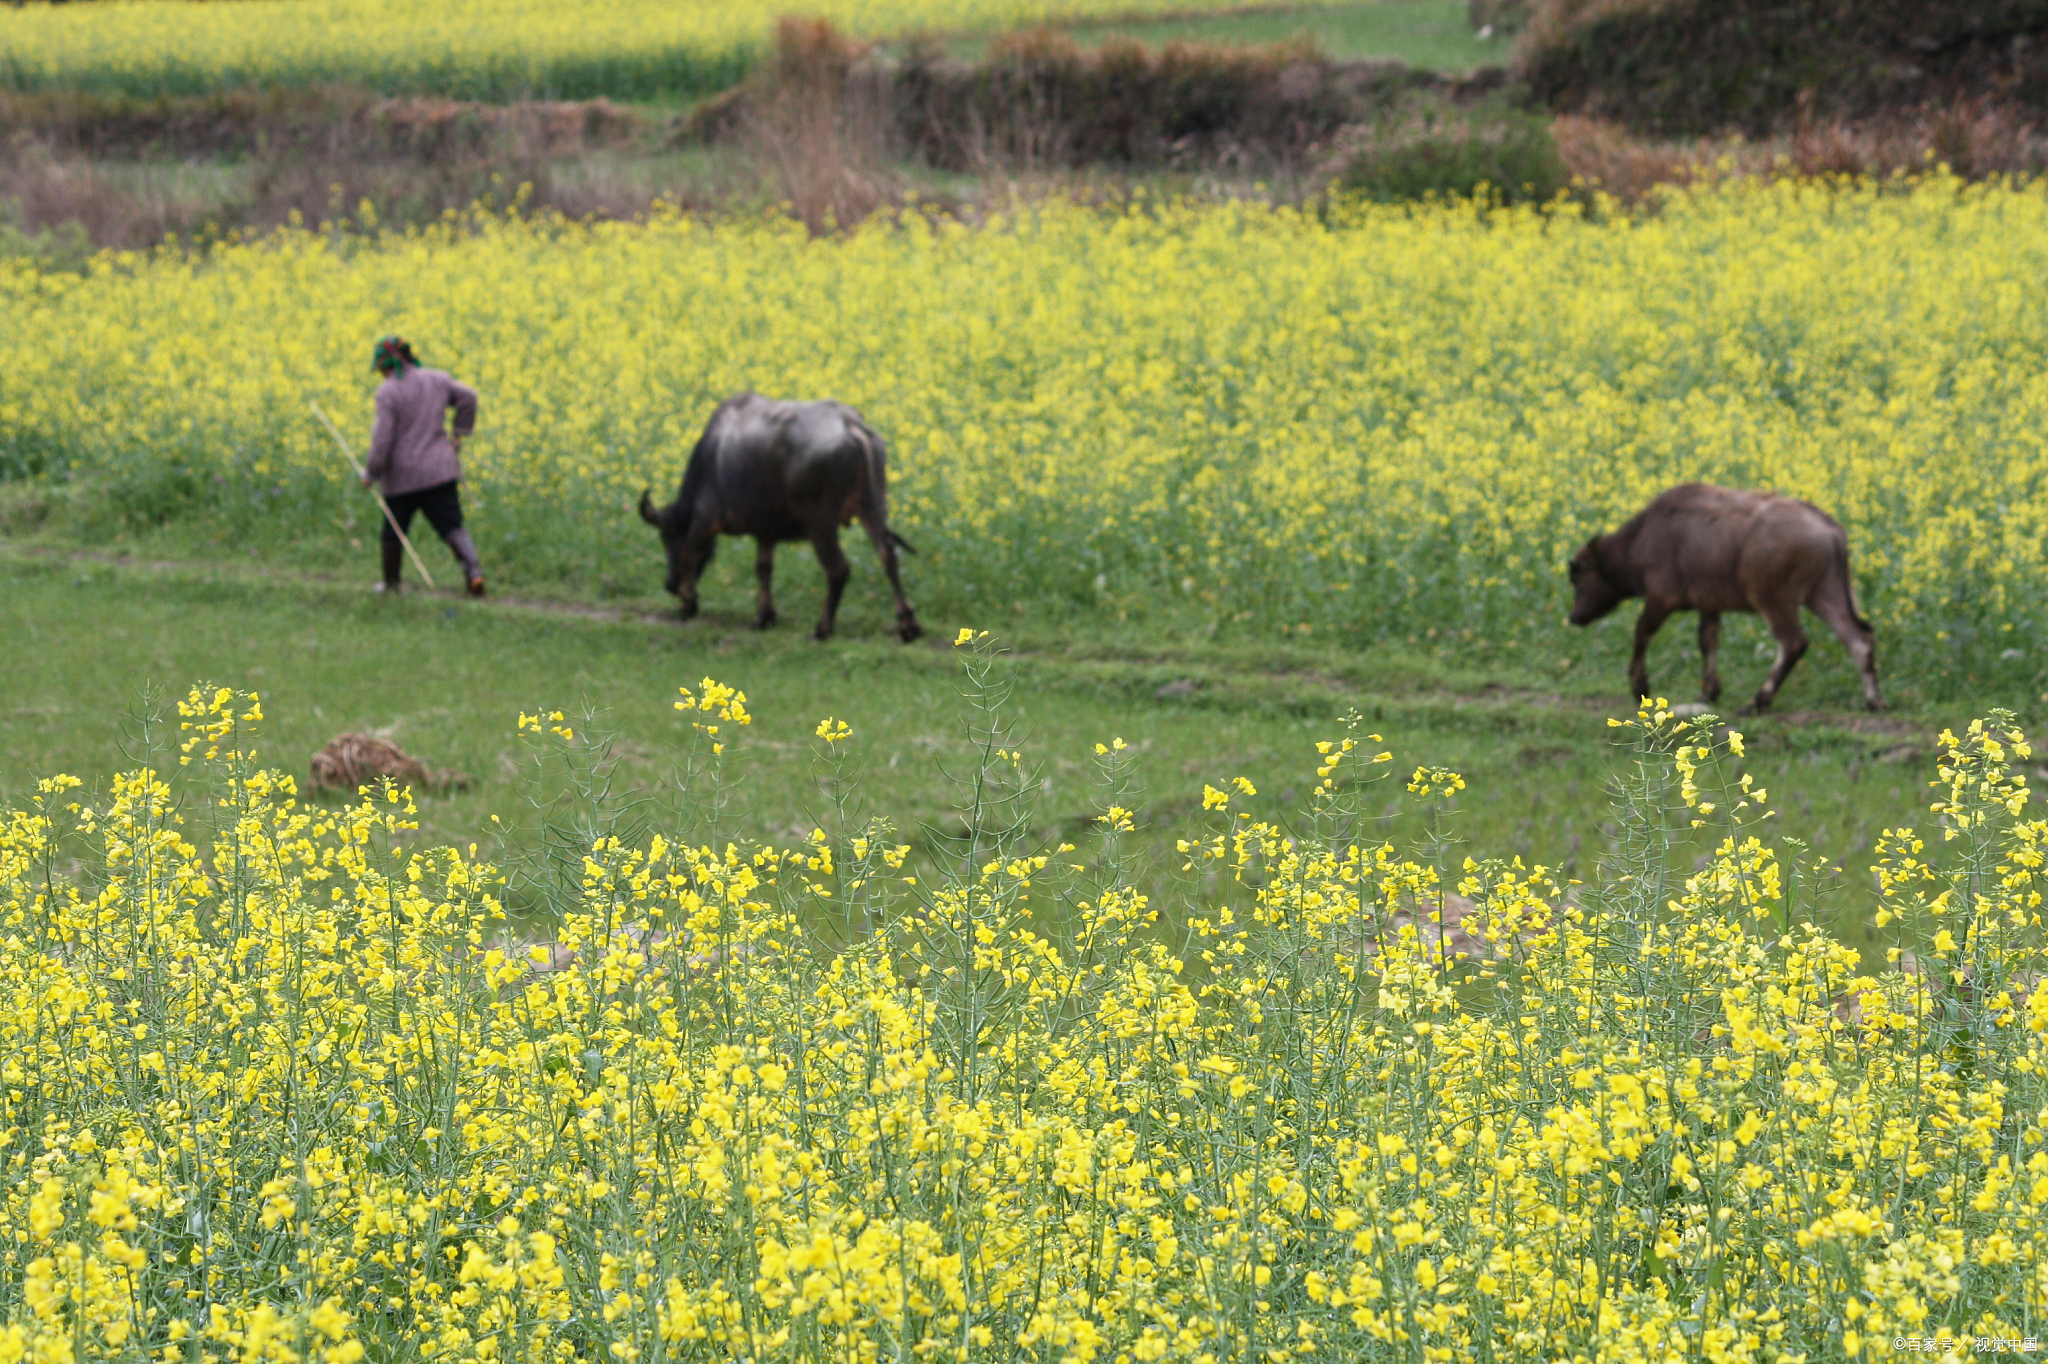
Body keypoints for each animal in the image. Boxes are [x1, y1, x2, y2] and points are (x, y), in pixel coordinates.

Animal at [638, 391, 929, 638]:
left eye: (667, 538)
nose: (669, 585)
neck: (711, 457)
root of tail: (850, 425)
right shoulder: (766, 532)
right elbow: (763, 567)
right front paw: (764, 616)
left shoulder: (705, 521)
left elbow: (690, 556)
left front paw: (688, 603)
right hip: (873, 505)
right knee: (888, 555)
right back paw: (908, 624)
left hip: (820, 523)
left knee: (838, 568)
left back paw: (822, 628)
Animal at [1572, 477, 1875, 712]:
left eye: (1577, 574)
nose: (1574, 617)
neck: (1639, 538)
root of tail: (1830, 529)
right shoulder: (1709, 606)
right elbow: (1708, 641)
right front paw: (1709, 692)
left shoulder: (1660, 599)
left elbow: (1641, 633)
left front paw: (1639, 687)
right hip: (1824, 594)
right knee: (1858, 638)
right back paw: (1874, 702)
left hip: (1775, 600)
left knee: (1793, 643)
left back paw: (1756, 703)